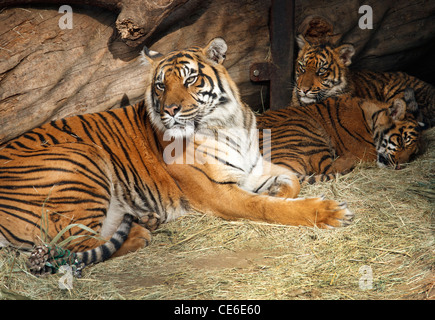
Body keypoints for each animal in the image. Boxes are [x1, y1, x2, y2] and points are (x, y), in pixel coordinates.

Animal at [0, 37, 354, 272]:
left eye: (190, 79)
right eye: (160, 85)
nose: (169, 110)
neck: (227, 124)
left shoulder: (254, 166)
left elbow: (291, 179)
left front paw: (277, 190)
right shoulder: (219, 193)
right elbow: (267, 208)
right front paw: (328, 212)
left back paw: (146, 220)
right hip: (81, 157)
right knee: (72, 245)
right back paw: (141, 231)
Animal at [258, 91, 422, 184]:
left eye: (412, 155)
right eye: (402, 141)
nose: (400, 167)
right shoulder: (366, 151)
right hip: (305, 128)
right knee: (329, 169)